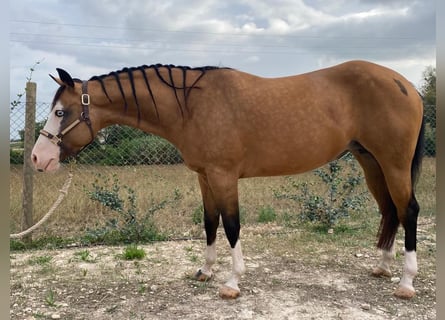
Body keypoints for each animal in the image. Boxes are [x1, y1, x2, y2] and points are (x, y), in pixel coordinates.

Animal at [31, 60, 424, 300]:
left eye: (60, 112)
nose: (38, 158)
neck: (191, 106)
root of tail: (405, 83)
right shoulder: (205, 177)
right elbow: (210, 223)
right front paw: (204, 271)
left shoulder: (224, 176)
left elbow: (232, 225)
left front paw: (232, 282)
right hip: (371, 162)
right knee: (389, 210)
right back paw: (382, 267)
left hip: (394, 164)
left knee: (408, 210)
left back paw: (406, 282)